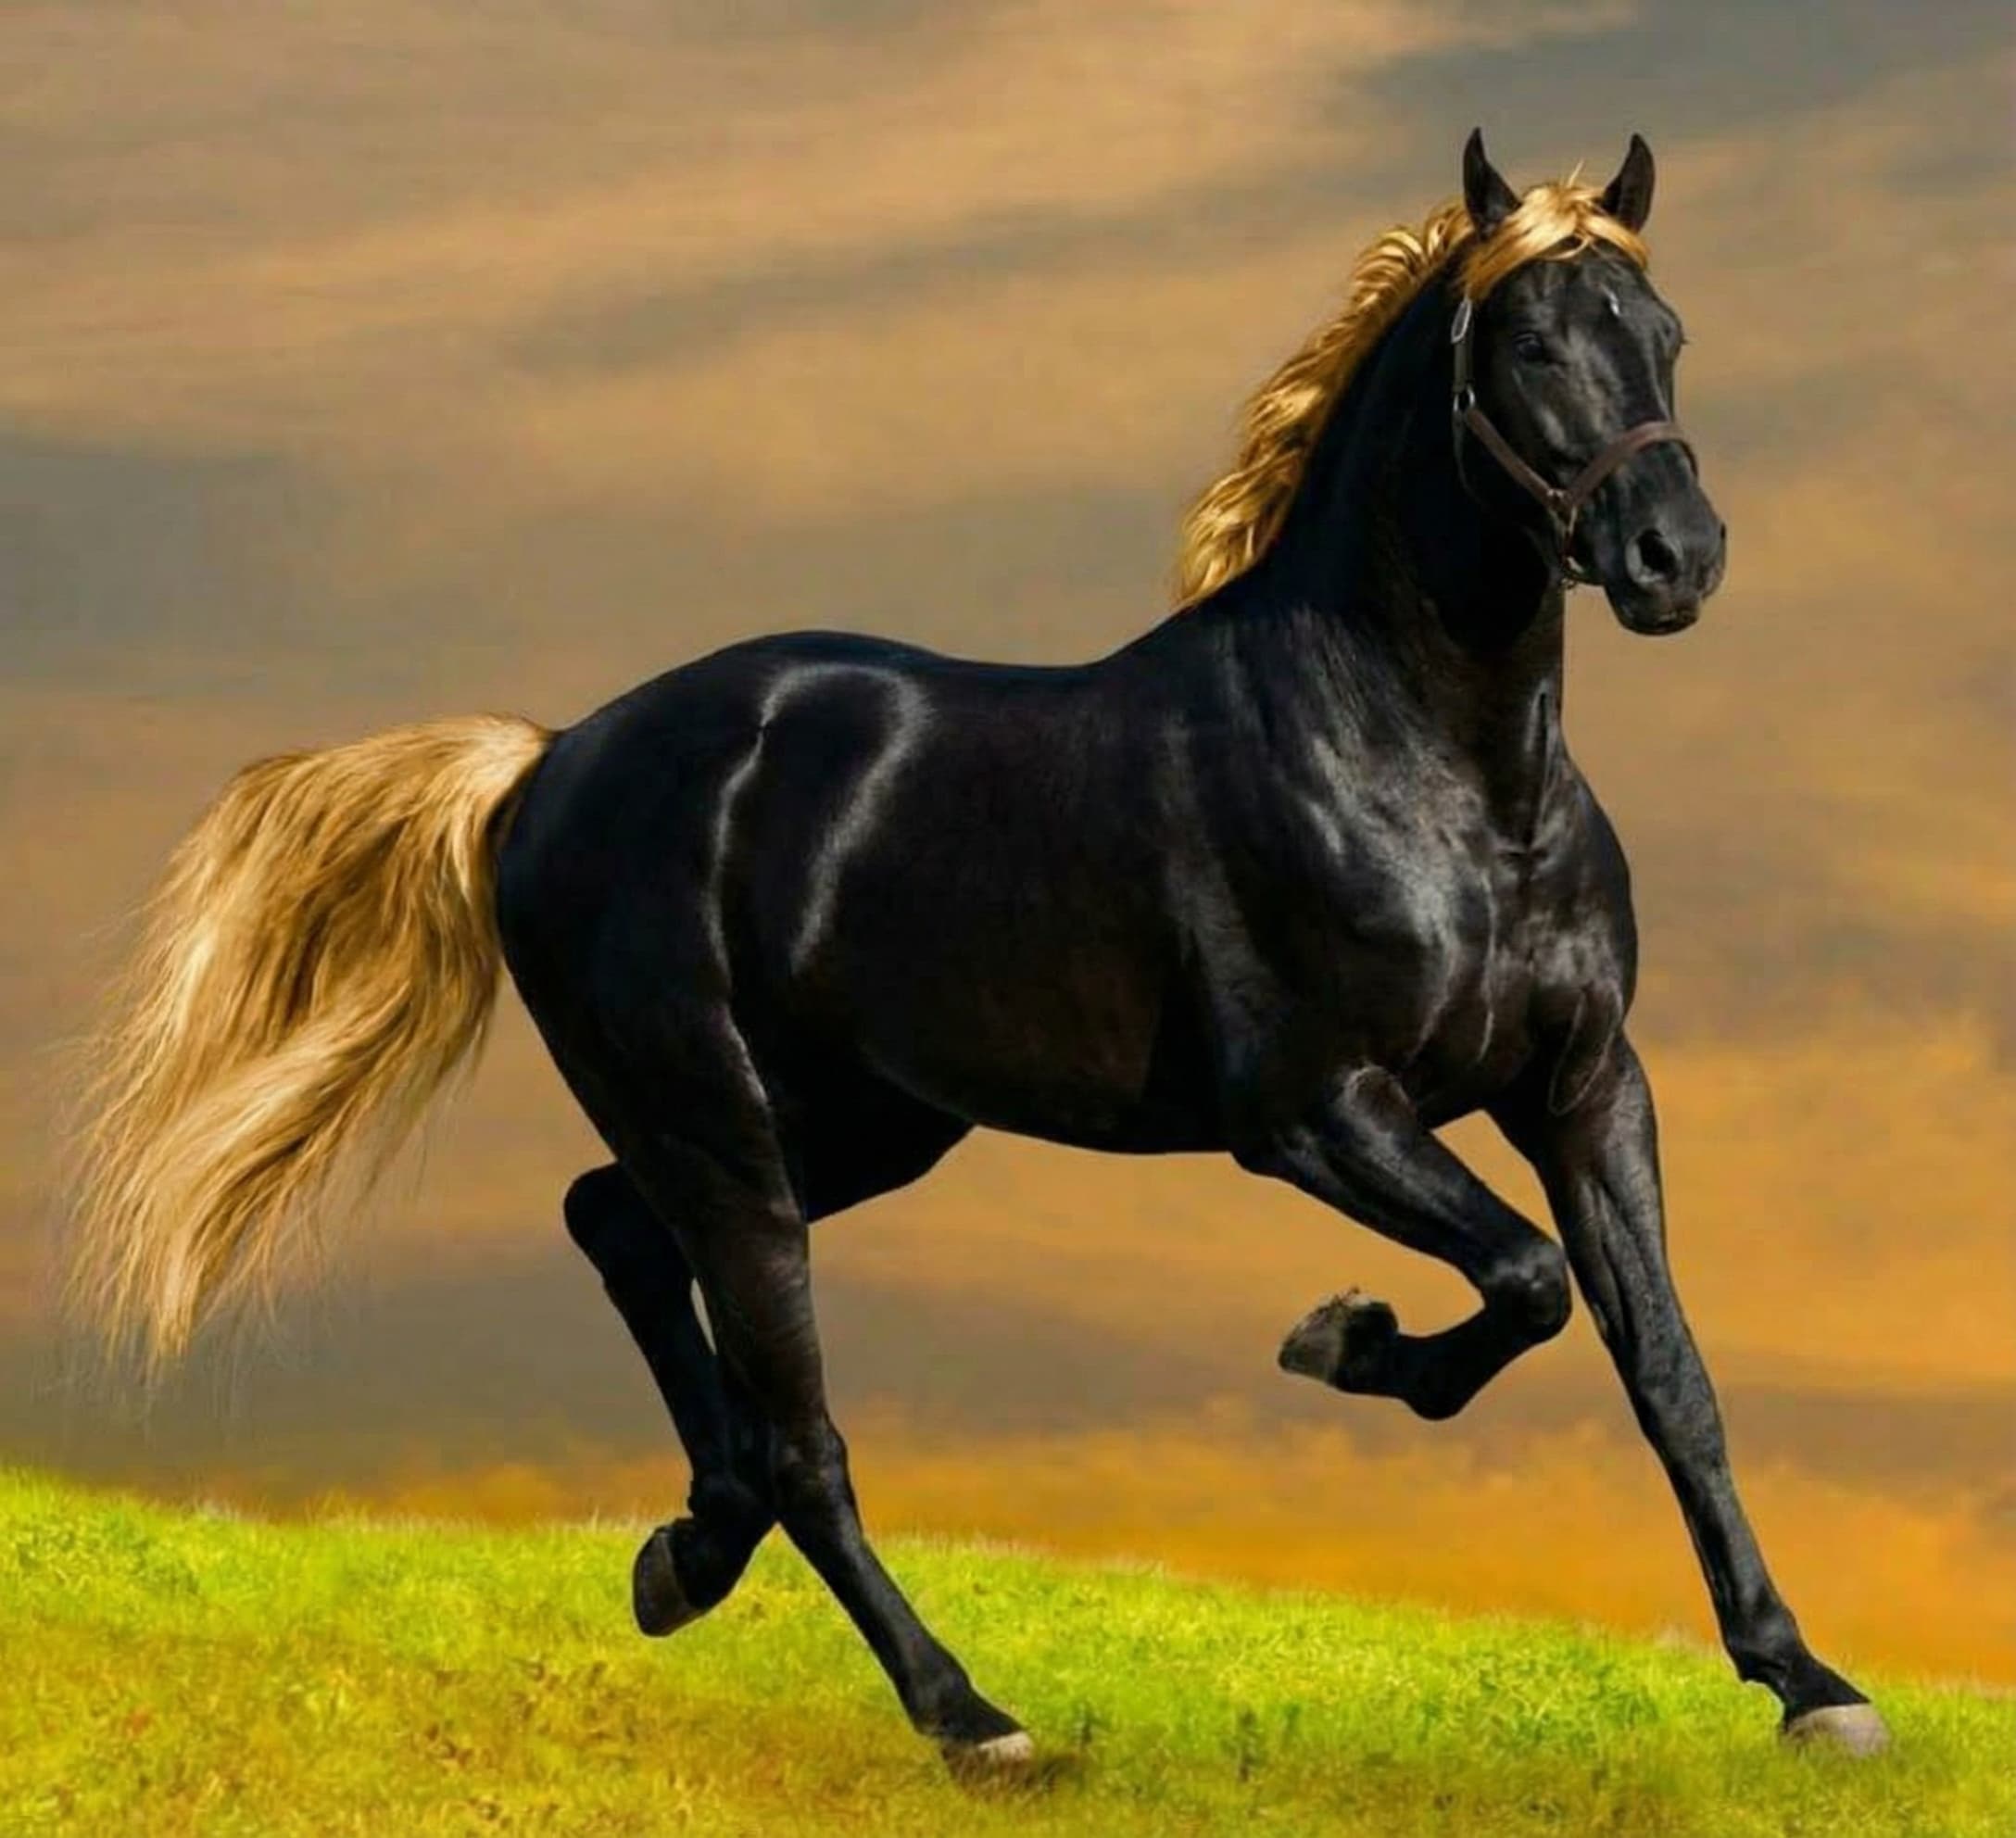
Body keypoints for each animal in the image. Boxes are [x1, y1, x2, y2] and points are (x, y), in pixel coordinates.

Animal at [68, 129, 1888, 1764]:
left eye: (1664, 333)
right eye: (1527, 343)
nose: (1675, 557)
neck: (1434, 766)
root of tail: (552, 761)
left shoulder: (1586, 1086)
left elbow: (1665, 1364)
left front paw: (1809, 1682)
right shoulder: (1314, 1112)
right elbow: (1521, 1281)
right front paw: (1342, 1337)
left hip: (859, 1125)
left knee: (620, 1236)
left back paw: (685, 1555)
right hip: (722, 1128)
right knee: (801, 1434)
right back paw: (968, 1715)